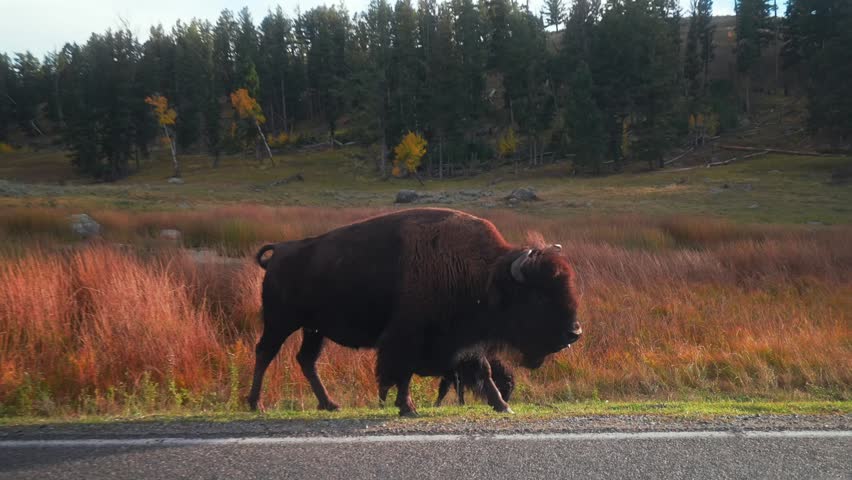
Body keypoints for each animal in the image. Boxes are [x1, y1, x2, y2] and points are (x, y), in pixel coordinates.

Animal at [248, 208, 581, 416]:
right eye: (539, 295)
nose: (574, 332)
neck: (484, 275)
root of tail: (279, 252)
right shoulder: (406, 337)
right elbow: (402, 371)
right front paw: (407, 407)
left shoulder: (467, 341)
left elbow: (483, 371)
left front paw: (502, 406)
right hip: (280, 322)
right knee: (265, 353)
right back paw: (255, 404)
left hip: (313, 330)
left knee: (307, 360)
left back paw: (330, 404)